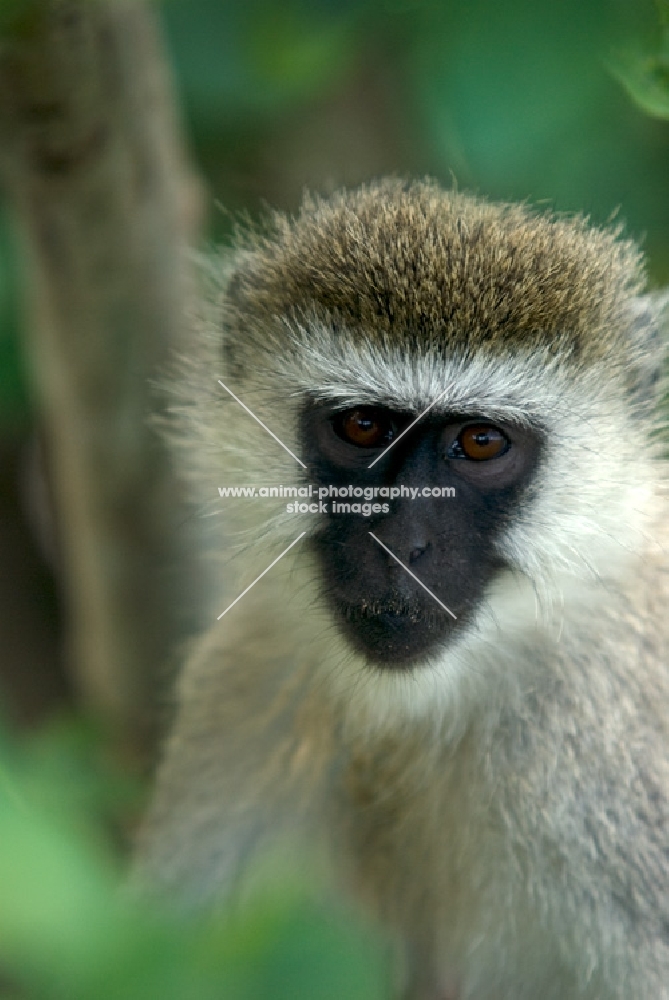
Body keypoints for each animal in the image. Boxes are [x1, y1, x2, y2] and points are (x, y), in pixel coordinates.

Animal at [134, 182, 668, 1000]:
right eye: (362, 426)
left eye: (479, 442)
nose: (400, 544)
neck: (418, 715)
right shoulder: (247, 684)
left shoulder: (606, 757)